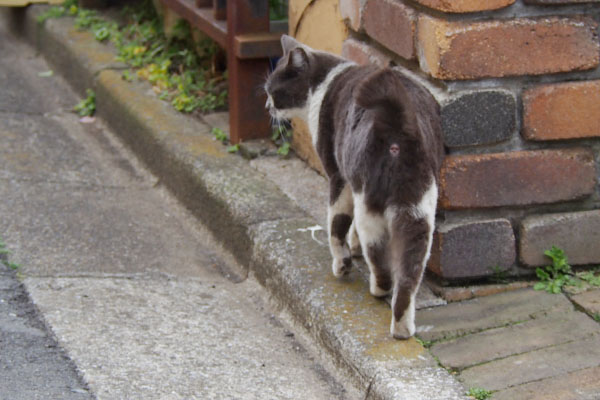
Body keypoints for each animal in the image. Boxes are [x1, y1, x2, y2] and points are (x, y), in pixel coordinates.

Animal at [264, 35, 442, 340]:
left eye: (272, 90)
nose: (267, 106)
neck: (324, 82)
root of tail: (399, 122)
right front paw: (354, 249)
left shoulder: (339, 177)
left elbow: (337, 229)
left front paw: (344, 263)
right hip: (419, 209)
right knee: (410, 272)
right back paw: (403, 327)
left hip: (369, 201)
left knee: (379, 256)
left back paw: (377, 289)